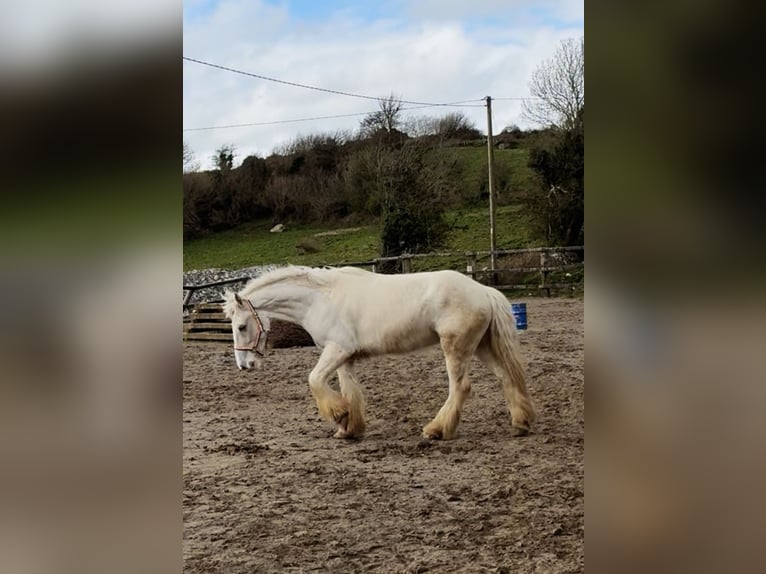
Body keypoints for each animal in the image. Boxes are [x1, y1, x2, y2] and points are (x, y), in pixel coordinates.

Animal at [222, 265, 535, 440]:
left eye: (241, 326)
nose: (245, 365)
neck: (321, 299)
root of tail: (483, 290)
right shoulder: (344, 357)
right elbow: (350, 391)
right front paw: (348, 428)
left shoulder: (336, 350)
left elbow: (314, 380)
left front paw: (338, 415)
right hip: (481, 347)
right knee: (506, 377)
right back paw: (520, 423)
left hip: (455, 348)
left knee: (461, 387)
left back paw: (436, 430)